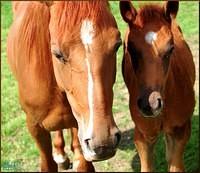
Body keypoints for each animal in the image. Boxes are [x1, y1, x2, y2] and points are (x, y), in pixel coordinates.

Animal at [7, 1, 121, 172]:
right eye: (58, 54)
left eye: (117, 45)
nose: (103, 144)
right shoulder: (35, 128)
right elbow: (48, 164)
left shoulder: (79, 125)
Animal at [119, 0, 195, 172]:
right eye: (130, 49)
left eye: (171, 48)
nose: (151, 104)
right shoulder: (142, 135)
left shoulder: (182, 129)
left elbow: (175, 165)